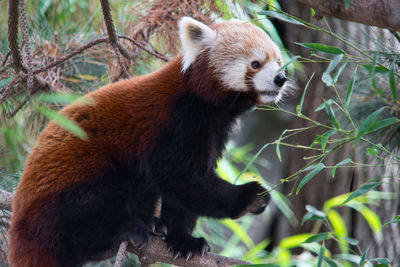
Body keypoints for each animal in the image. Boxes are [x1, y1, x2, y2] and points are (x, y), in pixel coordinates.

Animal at [7, 17, 288, 267]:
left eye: (278, 61)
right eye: (256, 63)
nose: (281, 79)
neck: (205, 102)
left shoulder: (212, 132)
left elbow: (184, 191)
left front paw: (183, 240)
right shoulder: (178, 120)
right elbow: (181, 178)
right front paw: (250, 197)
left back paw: (151, 223)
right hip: (70, 187)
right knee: (91, 208)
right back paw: (120, 232)